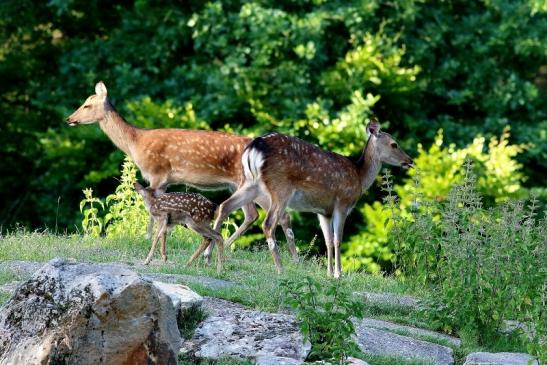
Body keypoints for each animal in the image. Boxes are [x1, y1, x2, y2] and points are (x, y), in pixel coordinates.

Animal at [68, 81, 300, 260]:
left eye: (87, 105)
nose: (69, 119)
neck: (135, 143)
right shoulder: (164, 180)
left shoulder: (157, 173)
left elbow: (152, 211)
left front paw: (145, 240)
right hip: (241, 185)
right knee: (264, 214)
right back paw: (290, 259)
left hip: (248, 182)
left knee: (265, 214)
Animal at [212, 118, 414, 276]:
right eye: (394, 144)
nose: (409, 160)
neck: (359, 177)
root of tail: (255, 147)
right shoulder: (342, 203)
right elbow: (338, 240)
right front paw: (339, 274)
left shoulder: (323, 211)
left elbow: (328, 241)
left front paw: (329, 273)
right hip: (280, 188)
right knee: (268, 223)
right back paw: (280, 269)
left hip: (249, 183)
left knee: (224, 206)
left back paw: (210, 256)